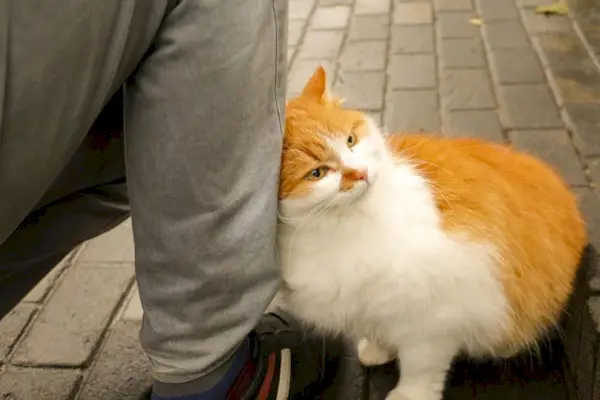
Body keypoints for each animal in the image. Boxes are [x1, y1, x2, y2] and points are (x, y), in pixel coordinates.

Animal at [278, 66, 588, 400]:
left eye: (350, 140)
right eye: (317, 173)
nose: (360, 173)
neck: (341, 227)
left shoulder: (434, 320)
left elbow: (420, 367)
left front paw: (409, 395)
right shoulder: (368, 303)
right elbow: (378, 328)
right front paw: (378, 349)